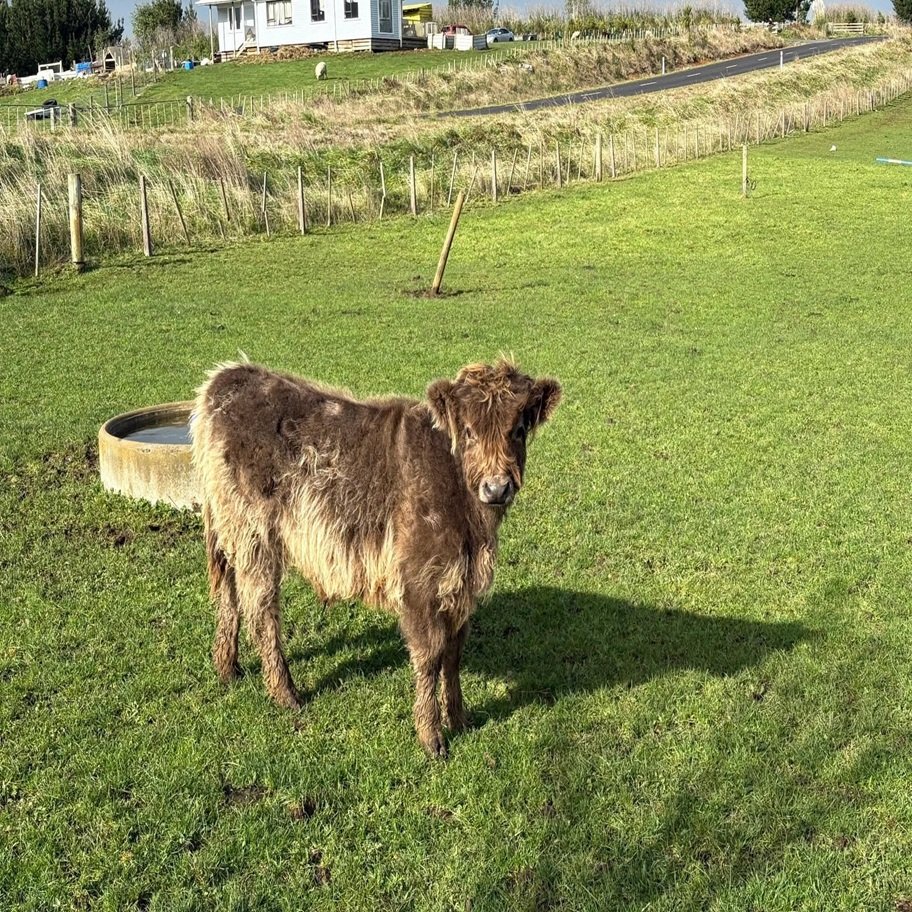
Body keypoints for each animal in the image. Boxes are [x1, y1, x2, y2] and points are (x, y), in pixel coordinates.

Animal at [191, 359, 561, 757]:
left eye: (518, 430)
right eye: (468, 431)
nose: (496, 487)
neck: (473, 528)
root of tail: (231, 374)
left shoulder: (461, 585)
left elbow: (453, 654)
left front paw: (460, 718)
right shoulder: (418, 582)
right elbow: (429, 656)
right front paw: (432, 736)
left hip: (229, 528)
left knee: (228, 591)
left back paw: (227, 667)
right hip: (252, 532)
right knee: (260, 607)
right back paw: (285, 692)